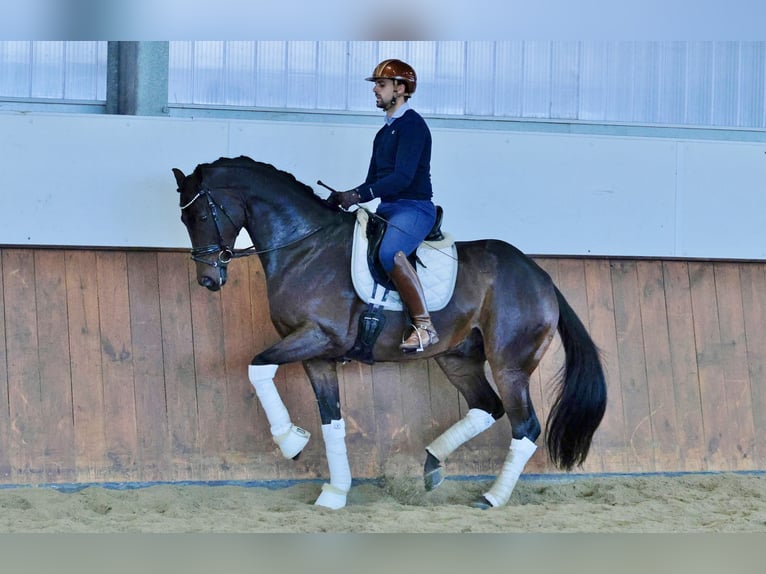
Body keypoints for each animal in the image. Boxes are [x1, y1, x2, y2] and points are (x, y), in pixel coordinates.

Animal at [172, 155, 607, 510]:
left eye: (202, 216)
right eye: (184, 220)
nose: (209, 280)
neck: (306, 248)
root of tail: (541, 276)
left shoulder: (319, 336)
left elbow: (257, 366)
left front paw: (290, 441)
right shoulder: (316, 354)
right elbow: (332, 421)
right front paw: (334, 493)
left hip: (510, 366)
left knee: (525, 426)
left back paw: (491, 497)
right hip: (459, 358)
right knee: (487, 407)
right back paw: (432, 465)